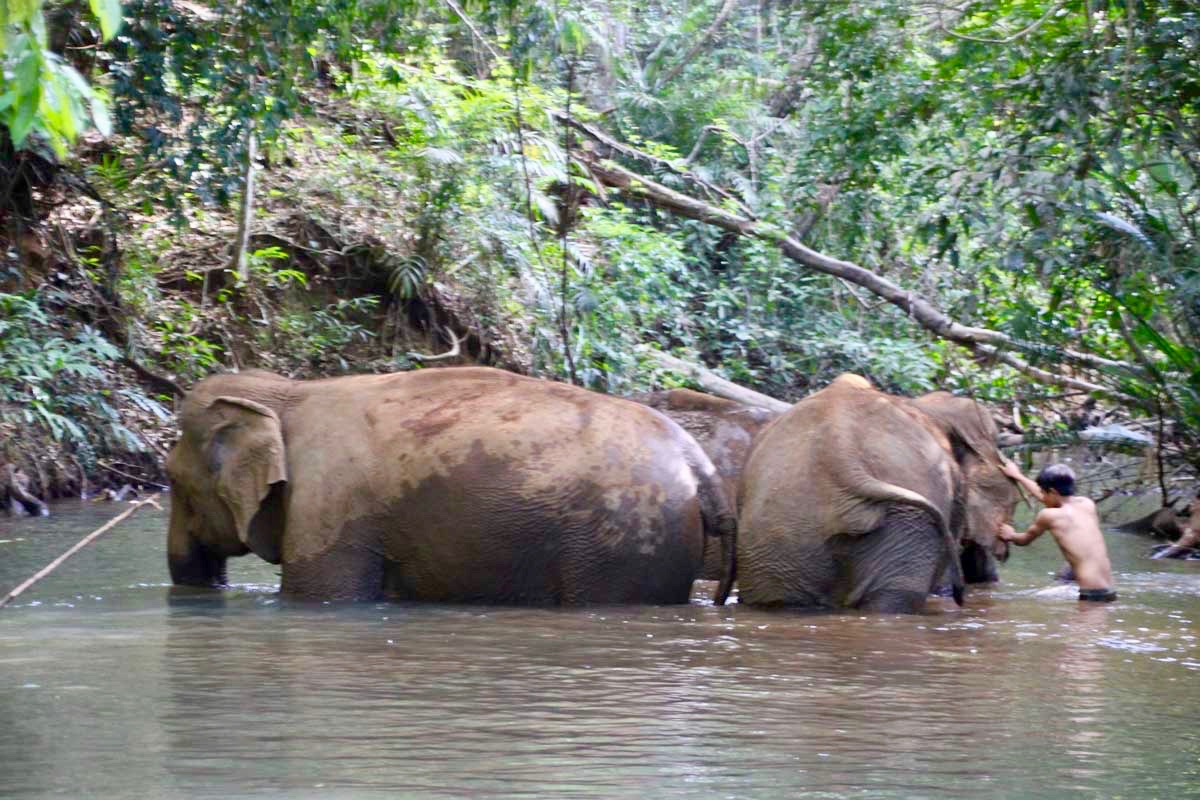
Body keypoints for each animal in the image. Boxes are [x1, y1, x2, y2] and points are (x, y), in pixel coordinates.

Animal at [164, 367, 734, 604]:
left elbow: (324, 595)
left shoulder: (328, 508)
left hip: (624, 543)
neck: (287, 393)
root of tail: (700, 466)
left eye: (173, 482)